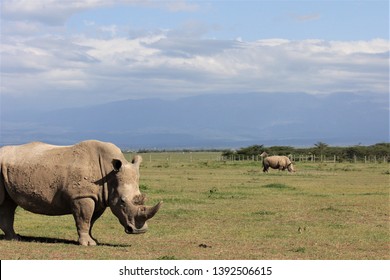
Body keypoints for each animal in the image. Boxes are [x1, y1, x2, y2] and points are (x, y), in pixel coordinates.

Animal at [0, 140, 161, 245]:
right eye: (122, 201)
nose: (139, 231)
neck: (109, 173)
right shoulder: (82, 196)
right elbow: (84, 219)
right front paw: (87, 244)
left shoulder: (99, 198)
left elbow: (91, 221)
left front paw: (93, 240)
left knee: (8, 204)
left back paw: (14, 239)